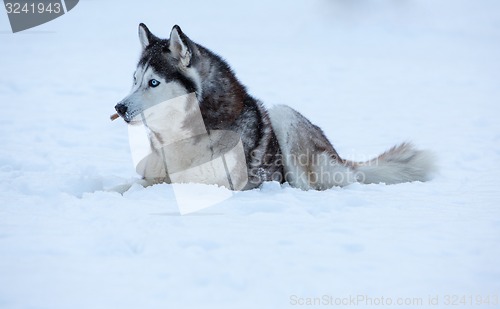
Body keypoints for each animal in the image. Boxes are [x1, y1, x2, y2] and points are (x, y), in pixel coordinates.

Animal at [115, 24, 436, 190]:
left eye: (154, 82)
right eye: (134, 80)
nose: (119, 108)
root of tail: (339, 157)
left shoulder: (211, 183)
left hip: (285, 118)